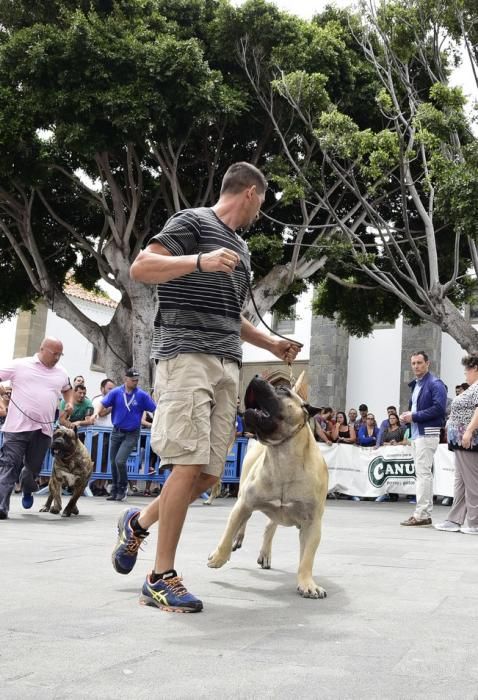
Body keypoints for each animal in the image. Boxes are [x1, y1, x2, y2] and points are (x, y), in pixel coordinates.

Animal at [209, 374, 328, 600]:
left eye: (282, 389)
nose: (257, 376)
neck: (282, 453)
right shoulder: (245, 502)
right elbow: (228, 532)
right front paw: (218, 557)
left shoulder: (313, 523)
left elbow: (307, 558)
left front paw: (307, 584)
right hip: (243, 494)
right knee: (243, 521)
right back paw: (238, 539)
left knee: (270, 526)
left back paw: (265, 554)